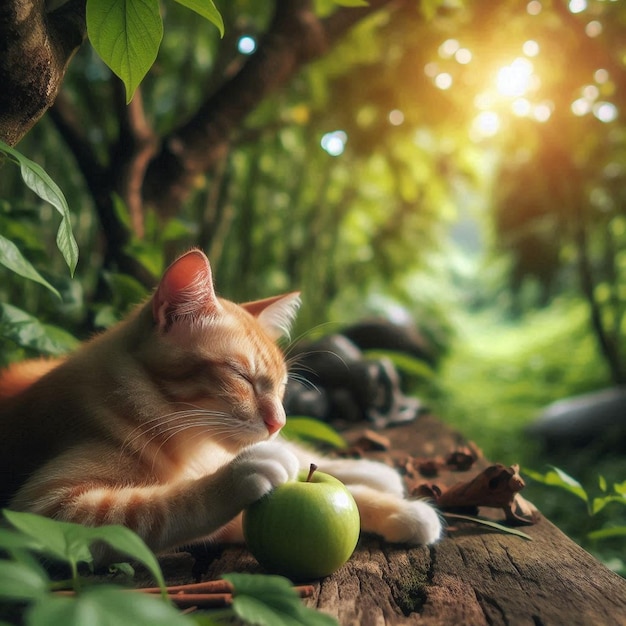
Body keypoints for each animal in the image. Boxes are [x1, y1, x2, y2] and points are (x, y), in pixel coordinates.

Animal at [0, 249, 438, 556]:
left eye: (281, 388)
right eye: (241, 377)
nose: (278, 421)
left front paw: (400, 511)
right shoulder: (43, 513)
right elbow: (155, 509)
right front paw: (237, 476)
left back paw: (372, 472)